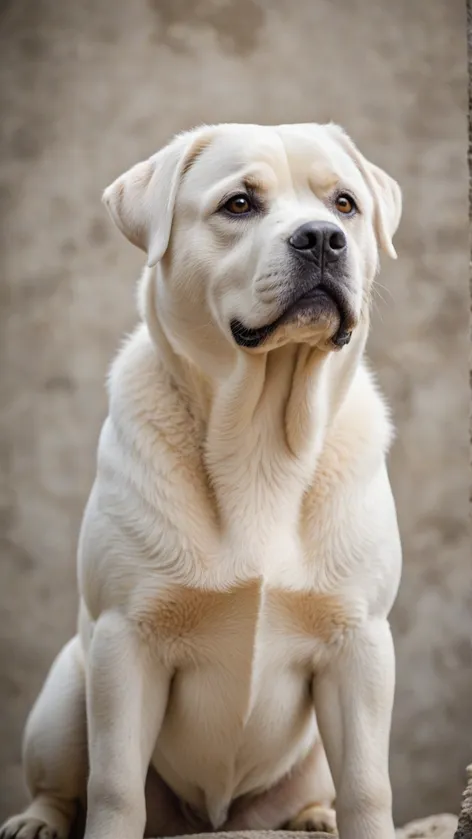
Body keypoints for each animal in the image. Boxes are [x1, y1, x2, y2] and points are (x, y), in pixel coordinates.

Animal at [1, 123, 404, 839]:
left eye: (346, 205)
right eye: (239, 204)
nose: (321, 237)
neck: (261, 441)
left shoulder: (359, 643)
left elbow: (367, 785)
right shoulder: (125, 641)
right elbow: (113, 787)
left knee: (318, 788)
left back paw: (313, 818)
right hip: (66, 691)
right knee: (62, 782)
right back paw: (38, 820)